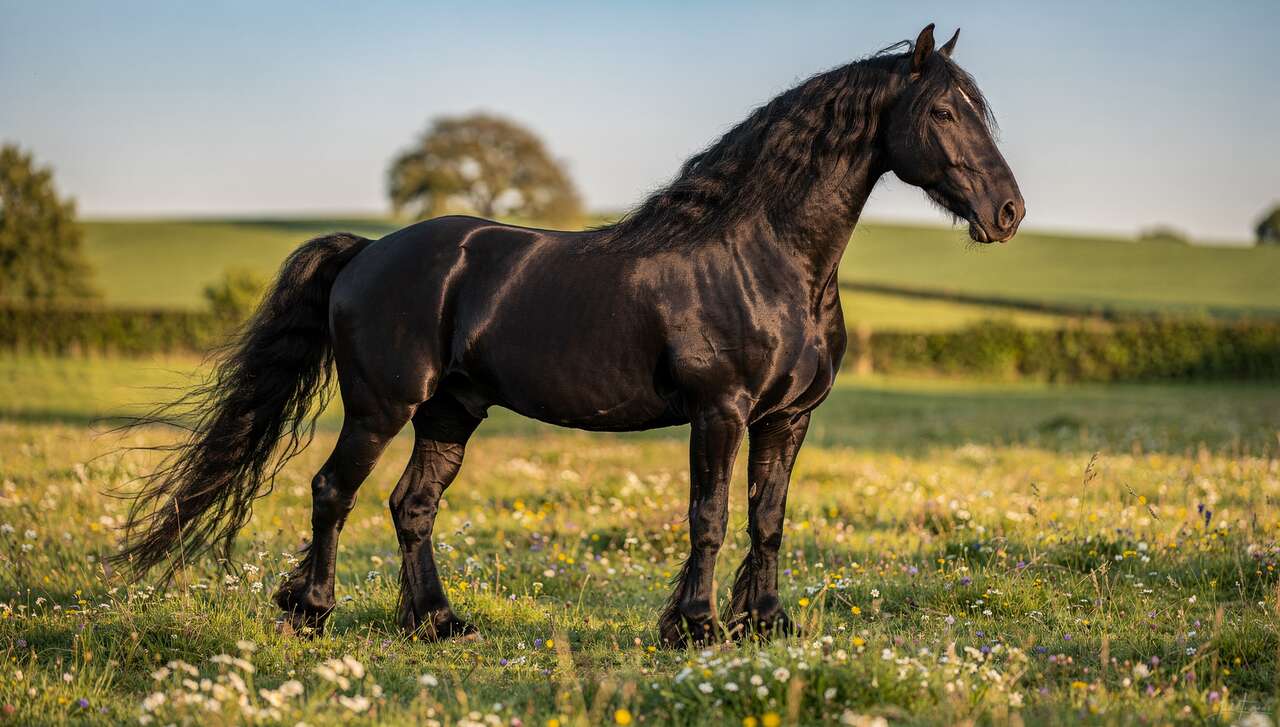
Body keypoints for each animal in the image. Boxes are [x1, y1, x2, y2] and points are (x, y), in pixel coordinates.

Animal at [115, 24, 1024, 647]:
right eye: (945, 110)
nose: (1010, 211)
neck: (766, 257)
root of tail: (369, 251)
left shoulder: (786, 418)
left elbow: (768, 518)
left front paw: (763, 622)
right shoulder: (720, 411)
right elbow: (710, 515)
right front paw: (695, 626)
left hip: (452, 410)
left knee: (412, 506)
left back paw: (437, 620)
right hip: (381, 406)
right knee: (333, 490)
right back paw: (310, 609)